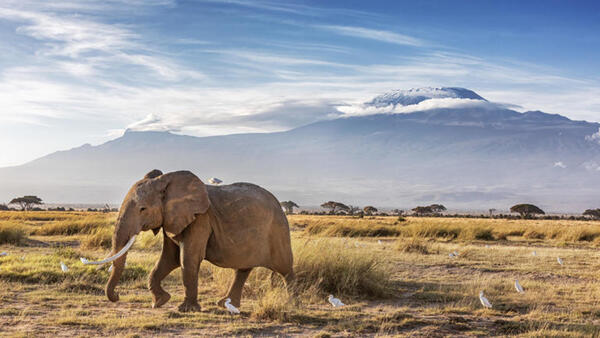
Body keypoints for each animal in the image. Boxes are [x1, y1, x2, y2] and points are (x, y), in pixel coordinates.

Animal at [90, 170, 294, 312]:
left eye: (142, 209)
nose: (117, 295)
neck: (166, 181)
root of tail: (280, 205)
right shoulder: (171, 220)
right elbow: (168, 259)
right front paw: (160, 302)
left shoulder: (200, 219)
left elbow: (187, 259)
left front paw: (186, 310)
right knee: (243, 269)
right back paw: (225, 304)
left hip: (278, 230)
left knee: (285, 268)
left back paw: (292, 303)